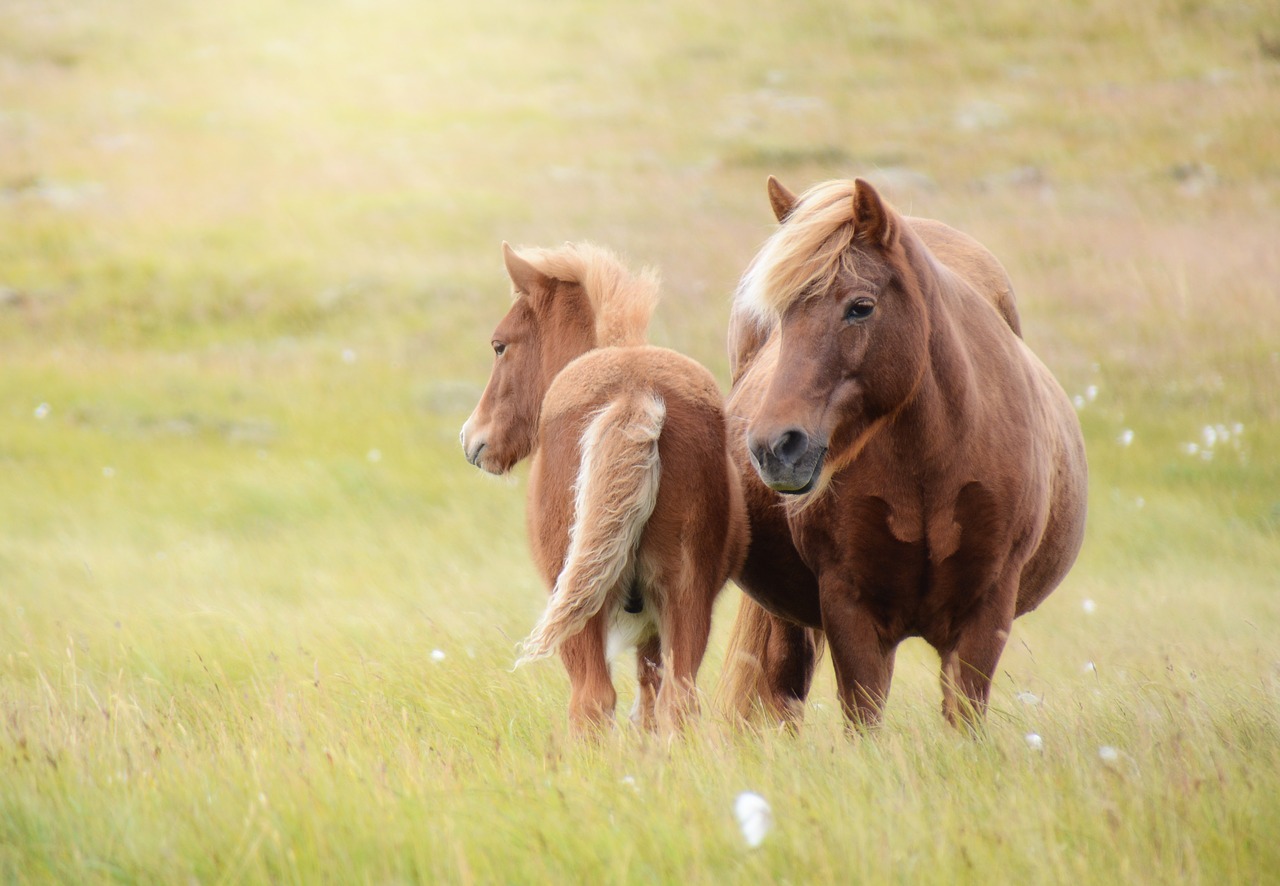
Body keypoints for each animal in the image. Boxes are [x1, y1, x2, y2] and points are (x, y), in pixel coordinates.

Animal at [460, 240, 747, 732]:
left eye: (500, 346)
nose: (473, 439)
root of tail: (634, 393)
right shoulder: (655, 624)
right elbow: (649, 701)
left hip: (580, 610)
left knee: (591, 700)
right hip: (686, 595)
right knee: (677, 701)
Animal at [716, 176, 1085, 732]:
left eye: (860, 306)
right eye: (779, 316)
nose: (773, 447)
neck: (930, 464)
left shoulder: (986, 611)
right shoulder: (850, 610)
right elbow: (862, 719)